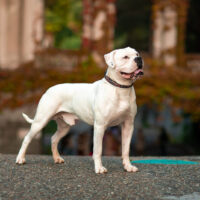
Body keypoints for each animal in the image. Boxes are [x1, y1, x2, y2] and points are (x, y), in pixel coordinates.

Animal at [16, 47, 144, 173]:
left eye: (137, 54)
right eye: (125, 57)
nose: (139, 59)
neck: (120, 88)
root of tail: (49, 89)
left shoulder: (128, 125)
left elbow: (126, 149)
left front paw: (128, 166)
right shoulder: (100, 126)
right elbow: (98, 150)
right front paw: (99, 168)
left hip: (64, 127)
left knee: (54, 139)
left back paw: (57, 158)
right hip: (40, 121)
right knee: (27, 138)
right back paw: (20, 159)